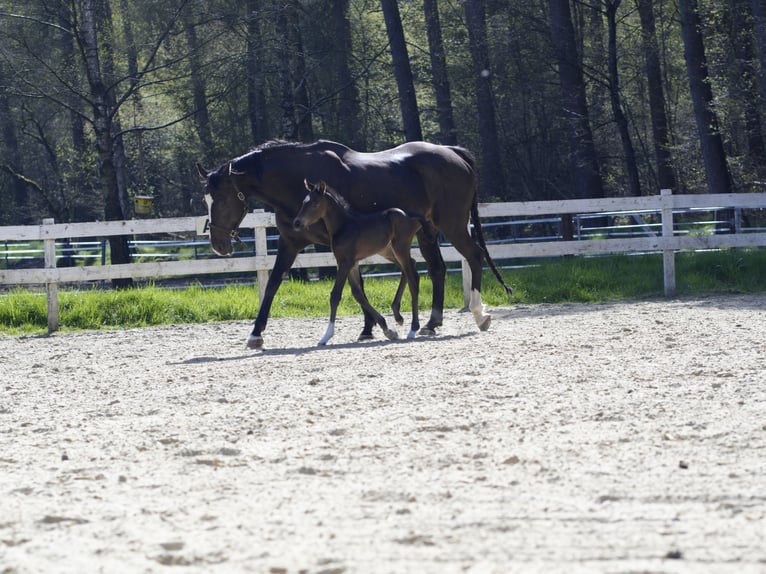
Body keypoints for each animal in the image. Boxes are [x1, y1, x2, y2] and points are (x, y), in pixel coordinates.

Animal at [293, 180, 422, 345]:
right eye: (304, 202)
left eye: (315, 203)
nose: (297, 223)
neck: (343, 226)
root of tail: (411, 218)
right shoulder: (350, 263)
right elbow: (357, 294)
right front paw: (388, 330)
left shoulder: (345, 263)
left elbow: (335, 295)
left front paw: (326, 335)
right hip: (388, 251)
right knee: (410, 266)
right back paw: (398, 316)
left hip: (400, 248)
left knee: (413, 278)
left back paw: (413, 329)